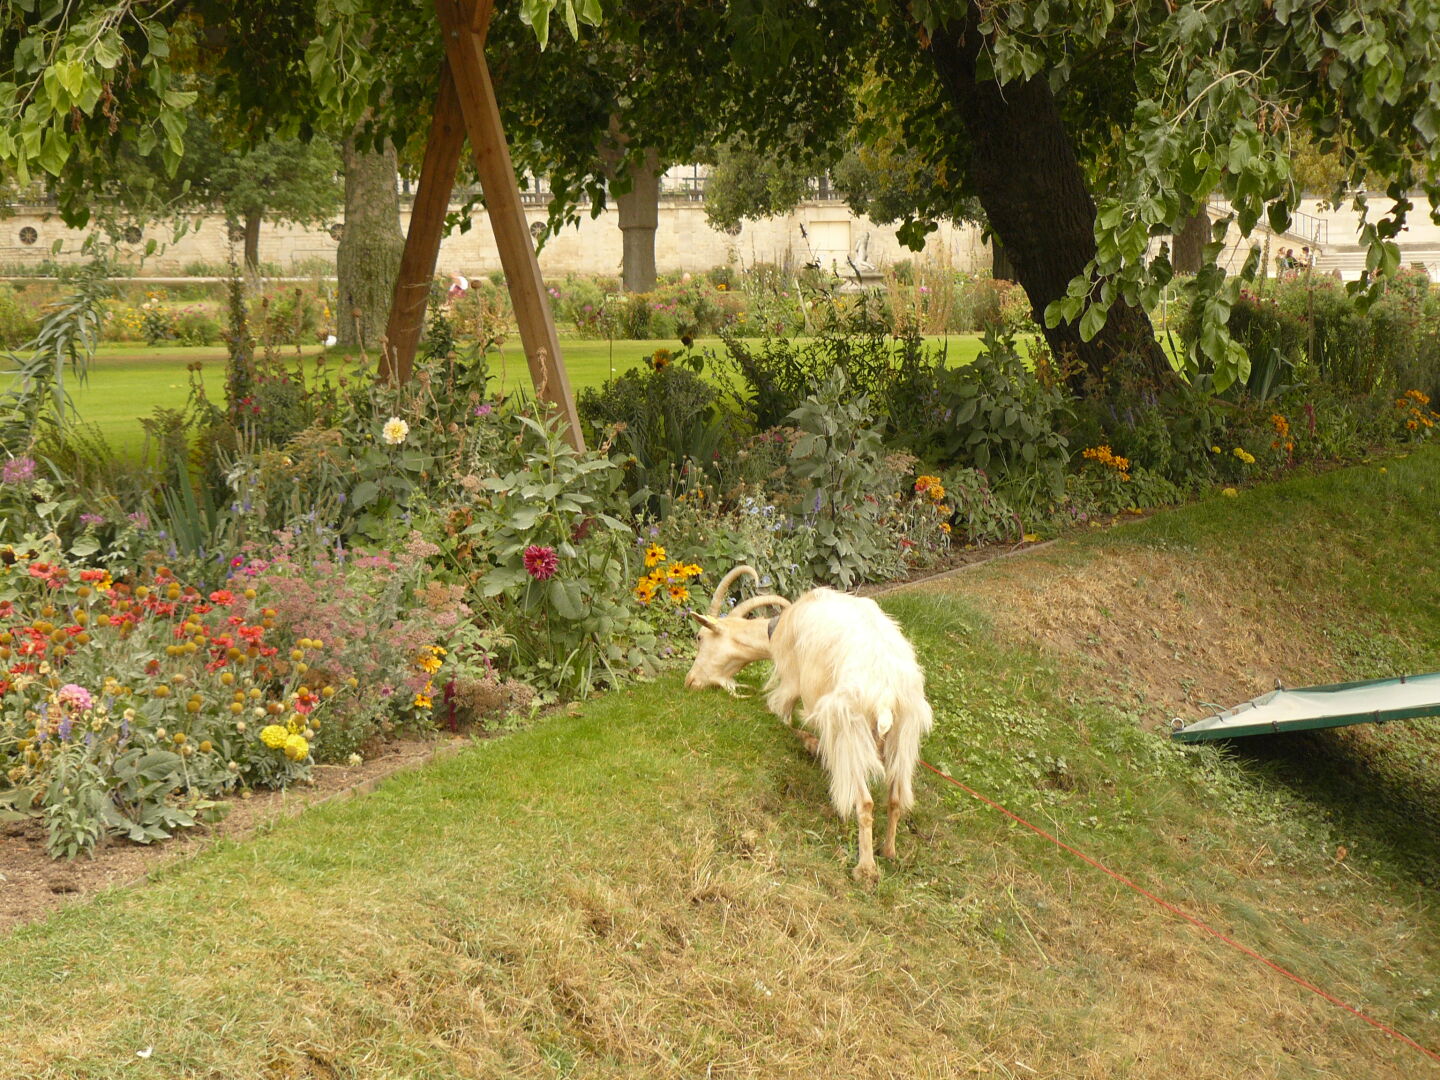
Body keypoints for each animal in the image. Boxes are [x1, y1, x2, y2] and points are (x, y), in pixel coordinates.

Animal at [686, 569, 934, 884]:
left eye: (700, 637)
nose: (690, 682)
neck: (780, 628)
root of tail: (886, 696)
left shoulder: (791, 683)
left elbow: (782, 717)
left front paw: (811, 743)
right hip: (904, 735)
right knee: (896, 797)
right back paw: (888, 851)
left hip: (849, 728)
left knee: (865, 802)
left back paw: (865, 868)